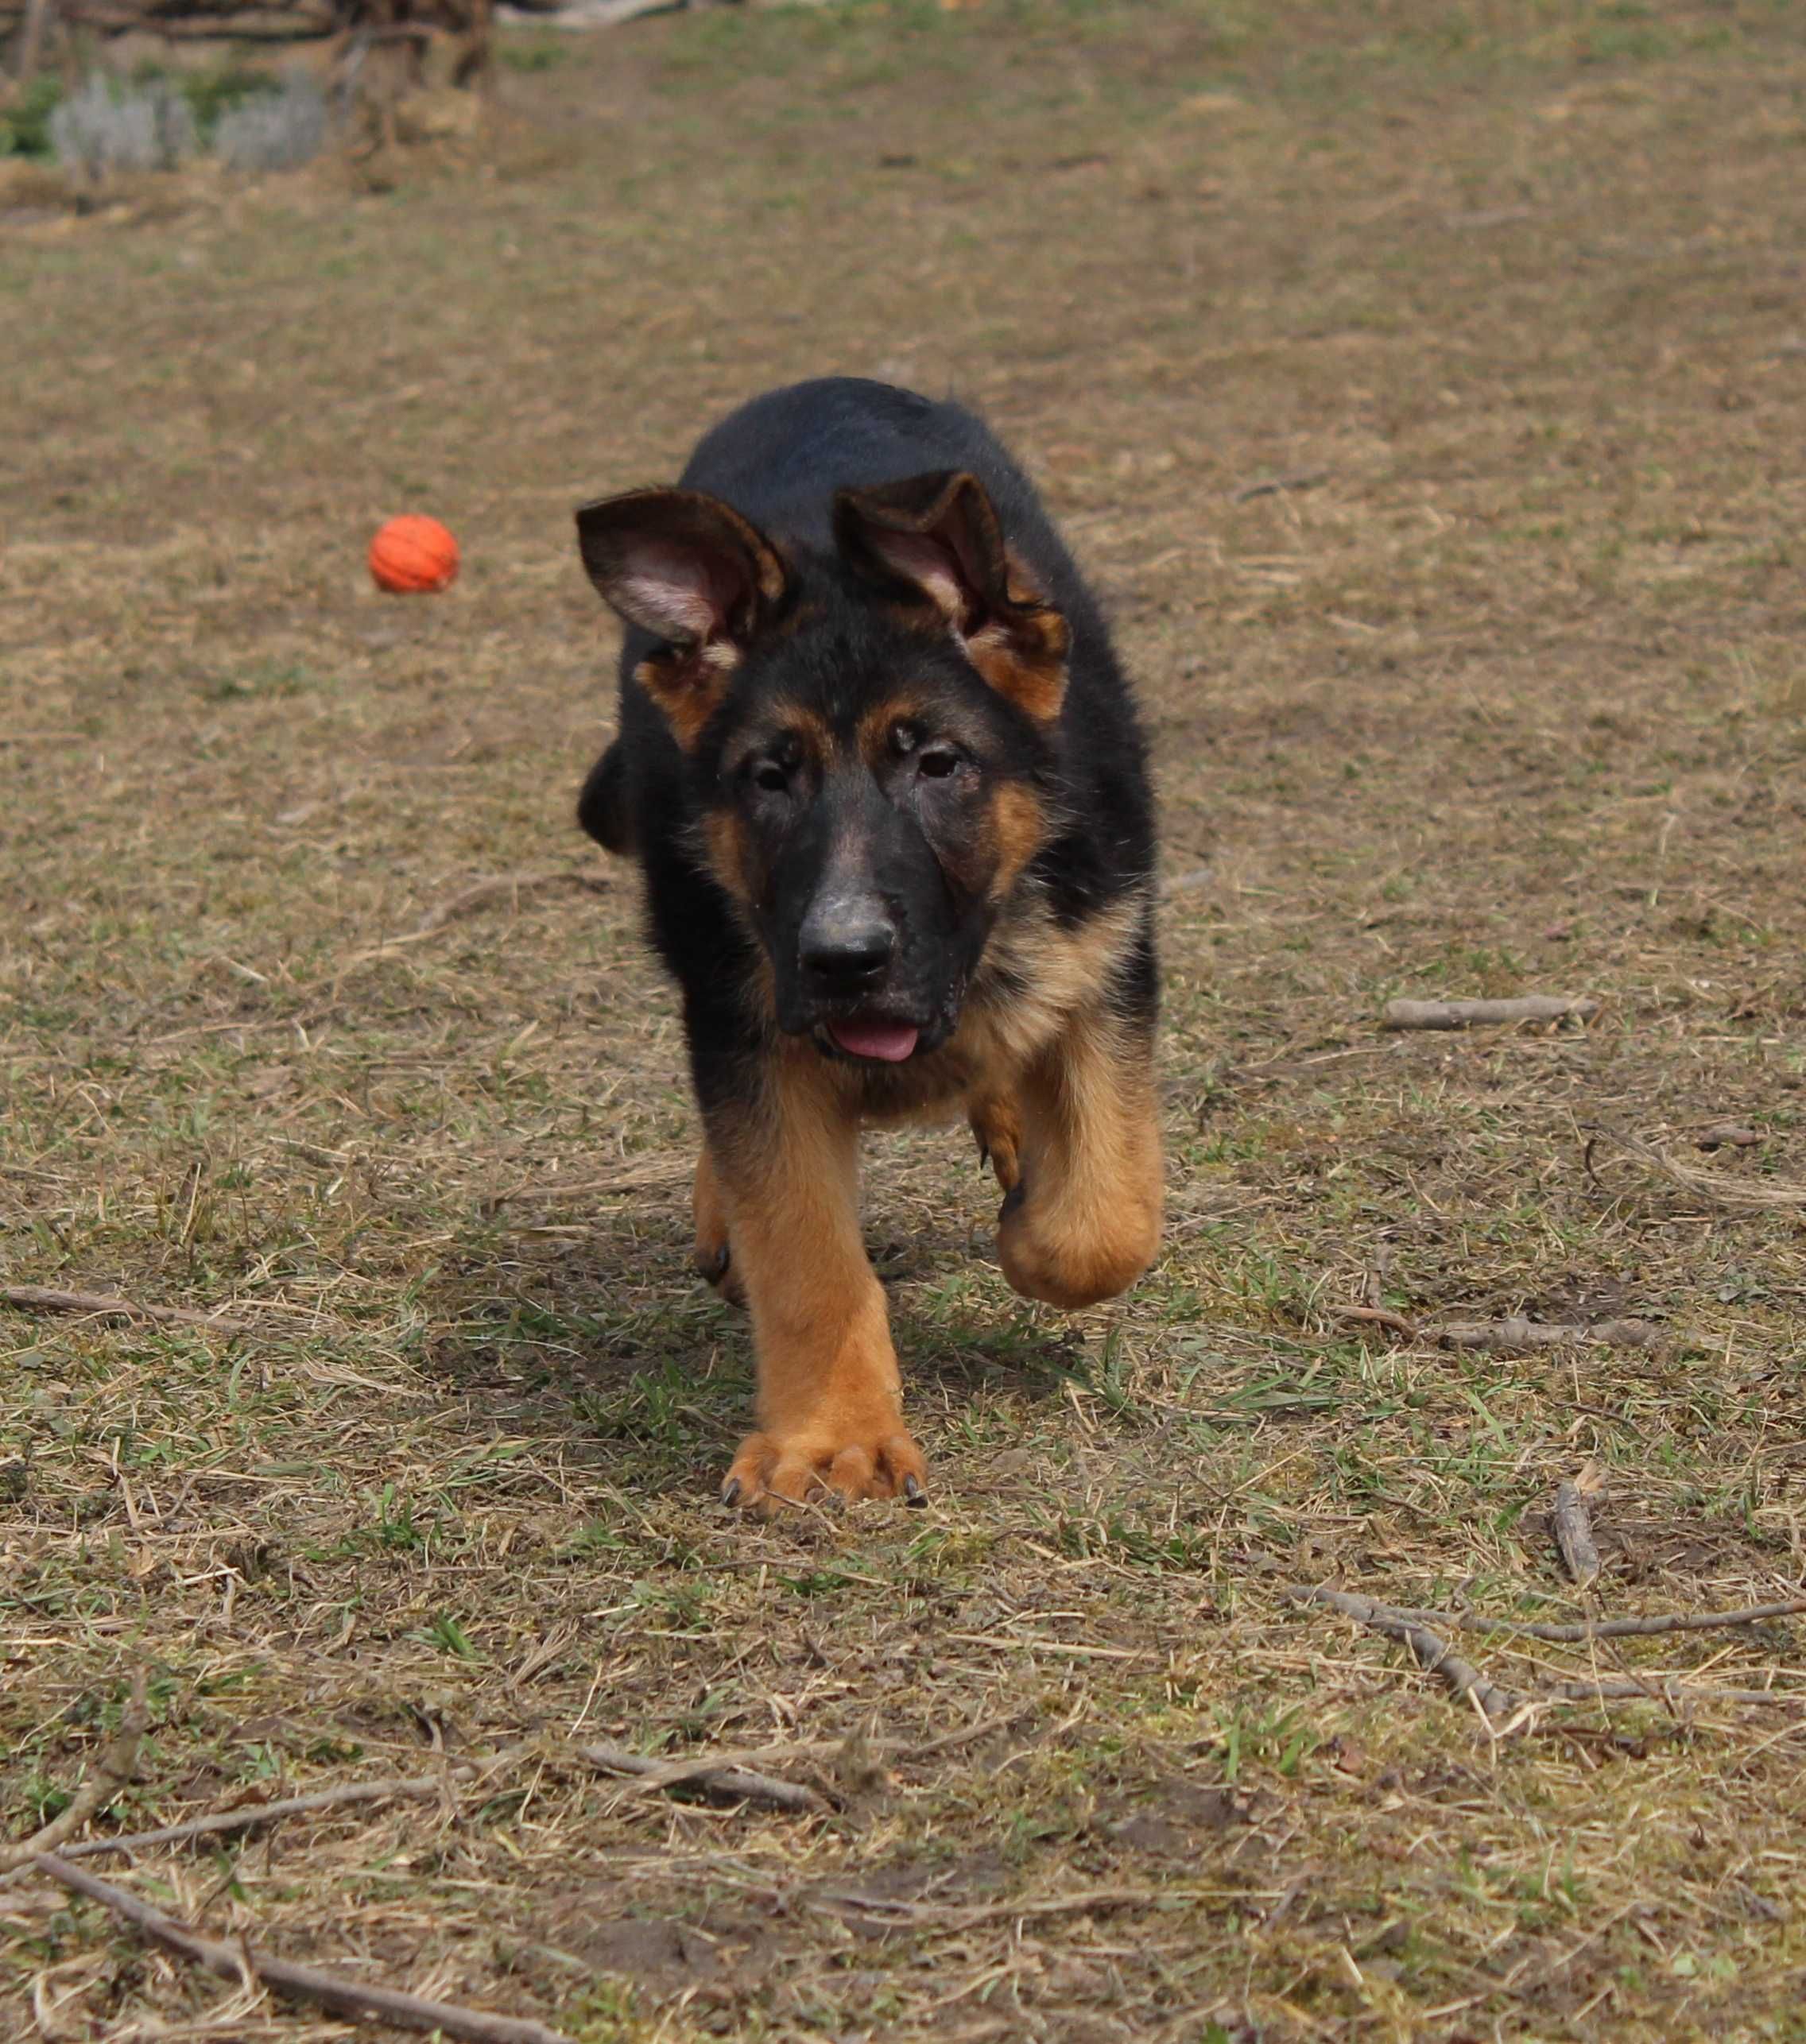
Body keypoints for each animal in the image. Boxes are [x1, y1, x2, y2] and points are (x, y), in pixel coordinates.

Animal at [580, 380, 1169, 1504]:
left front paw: (1031, 1223)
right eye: (770, 777)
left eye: (938, 763)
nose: (843, 960)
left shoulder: (1107, 957)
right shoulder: (748, 1023)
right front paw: (828, 1440)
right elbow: (804, 1254)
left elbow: (1102, 1221)